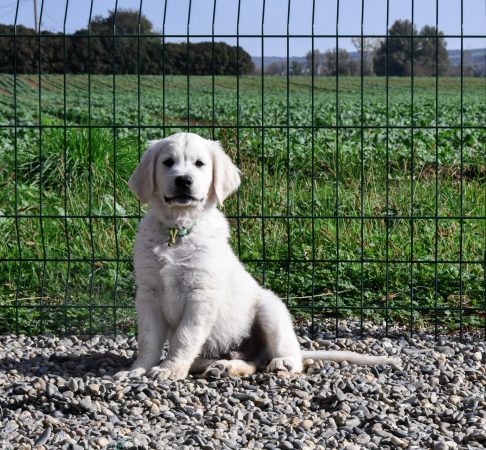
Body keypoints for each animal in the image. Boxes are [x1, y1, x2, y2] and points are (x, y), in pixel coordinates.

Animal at [116, 133, 400, 380]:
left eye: (199, 163)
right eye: (167, 162)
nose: (184, 180)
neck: (178, 231)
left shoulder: (201, 295)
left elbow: (184, 338)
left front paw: (170, 369)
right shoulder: (149, 293)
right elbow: (148, 339)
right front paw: (138, 369)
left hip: (270, 308)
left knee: (286, 356)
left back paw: (279, 363)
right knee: (248, 362)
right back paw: (224, 366)